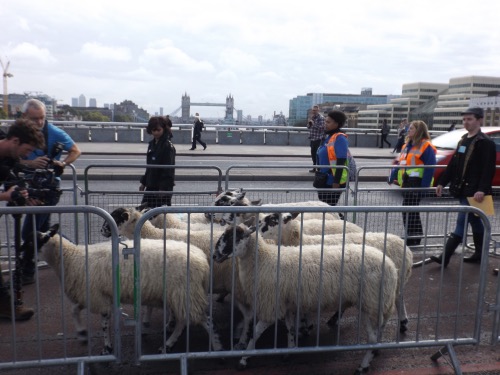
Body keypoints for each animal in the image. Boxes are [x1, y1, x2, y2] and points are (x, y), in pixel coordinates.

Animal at [35, 225, 221, 356]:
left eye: (36, 242)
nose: (28, 260)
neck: (73, 258)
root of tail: (202, 261)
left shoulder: (97, 297)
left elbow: (104, 325)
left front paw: (107, 348)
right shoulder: (92, 295)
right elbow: (74, 310)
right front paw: (81, 334)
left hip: (185, 293)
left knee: (204, 320)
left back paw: (216, 346)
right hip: (179, 294)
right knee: (184, 320)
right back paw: (168, 345)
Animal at [102, 206, 256, 350]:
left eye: (116, 217)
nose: (102, 230)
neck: (153, 234)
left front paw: (157, 324)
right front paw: (162, 323)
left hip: (238, 284)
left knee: (249, 315)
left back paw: (242, 339)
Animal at [214, 223, 398, 374]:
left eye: (234, 237)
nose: (215, 256)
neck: (264, 260)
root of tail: (390, 265)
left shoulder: (271, 305)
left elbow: (255, 333)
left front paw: (243, 359)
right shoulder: (286, 302)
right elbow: (289, 327)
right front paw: (288, 352)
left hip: (370, 301)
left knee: (372, 338)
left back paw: (363, 366)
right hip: (377, 303)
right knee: (379, 329)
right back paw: (375, 353)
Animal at [260, 213, 412, 334]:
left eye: (272, 221)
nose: (256, 230)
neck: (300, 241)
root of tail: (405, 247)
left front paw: (305, 326)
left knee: (399, 298)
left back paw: (403, 322)